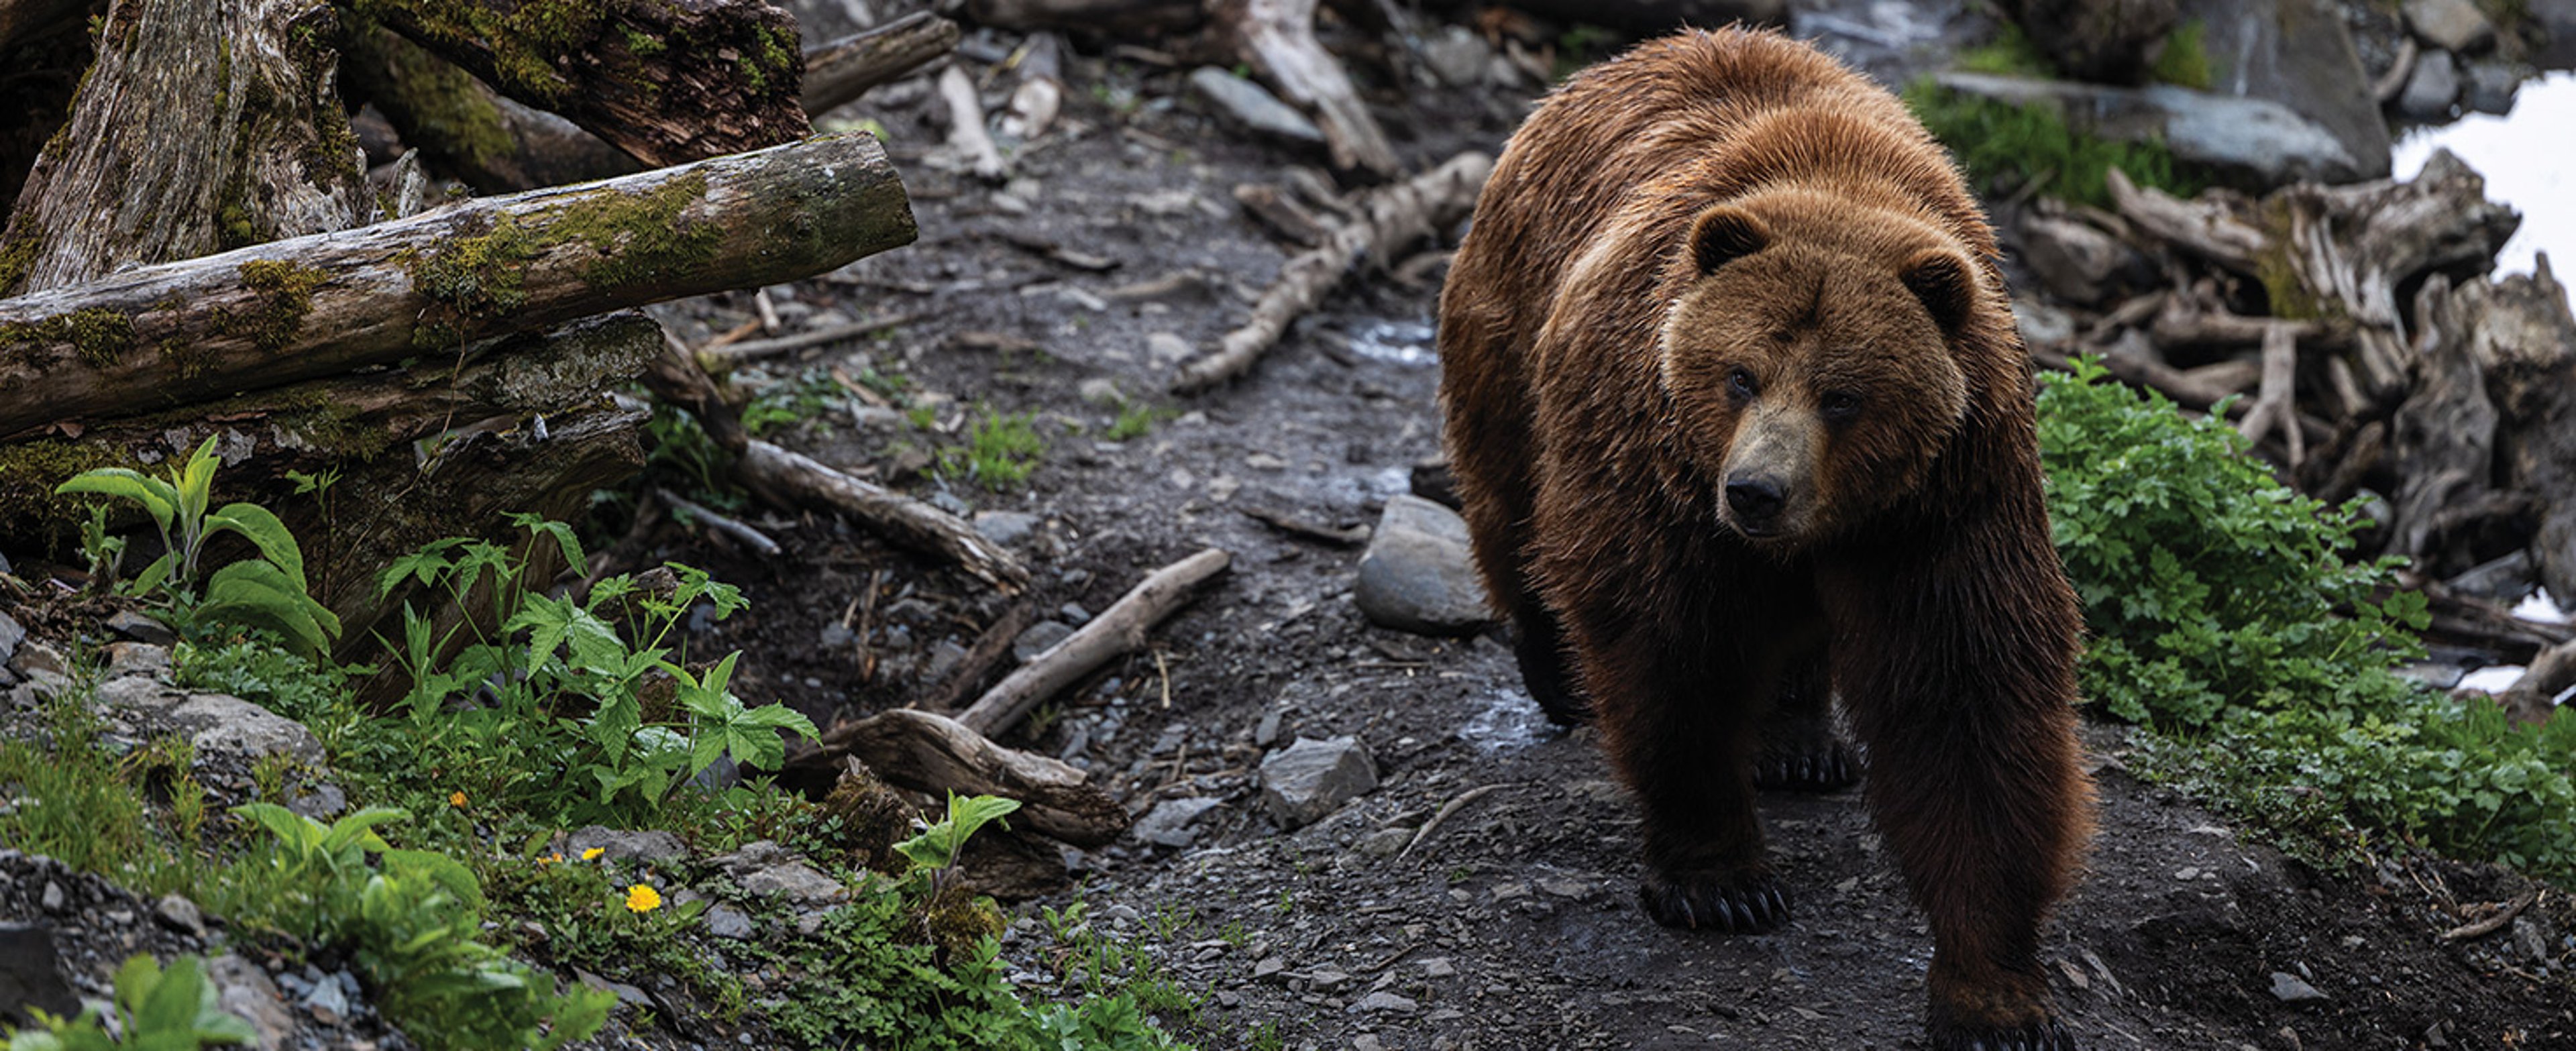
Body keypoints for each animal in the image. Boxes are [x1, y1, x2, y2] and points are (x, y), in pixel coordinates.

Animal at [1435, 27, 2093, 1051]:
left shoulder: (1946, 501)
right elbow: (1672, 650)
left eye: (1844, 395)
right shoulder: (1657, 462)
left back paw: (1800, 741)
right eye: (1740, 373)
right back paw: (1554, 668)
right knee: (1512, 499)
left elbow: (1966, 697)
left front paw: (1997, 995)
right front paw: (1721, 882)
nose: (1755, 493)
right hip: (1514, 325)